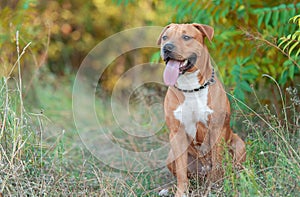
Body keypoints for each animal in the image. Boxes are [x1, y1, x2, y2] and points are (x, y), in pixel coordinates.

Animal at [158, 23, 245, 196]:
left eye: (186, 37)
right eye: (165, 37)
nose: (167, 47)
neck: (190, 87)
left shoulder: (216, 129)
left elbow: (217, 163)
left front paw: (216, 187)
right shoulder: (176, 133)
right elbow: (182, 172)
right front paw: (181, 192)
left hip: (239, 144)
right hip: (171, 156)